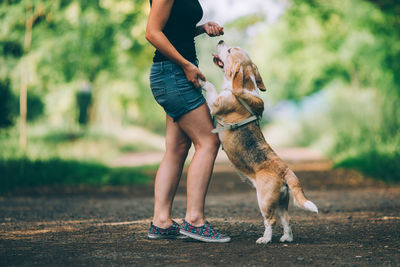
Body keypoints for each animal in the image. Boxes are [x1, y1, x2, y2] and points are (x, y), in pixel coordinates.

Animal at [200, 40, 318, 245]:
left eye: (229, 50)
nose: (220, 40)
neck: (242, 88)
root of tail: (285, 170)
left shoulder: (215, 103)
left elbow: (211, 88)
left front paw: (202, 80)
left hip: (264, 200)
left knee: (270, 221)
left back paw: (265, 239)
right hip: (281, 202)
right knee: (286, 221)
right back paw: (286, 238)